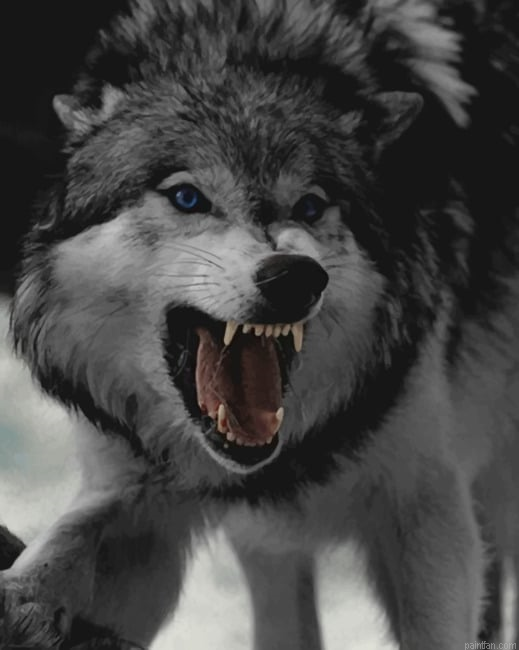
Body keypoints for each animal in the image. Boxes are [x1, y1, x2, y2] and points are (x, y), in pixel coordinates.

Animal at [2, 0, 519, 648]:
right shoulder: (138, 494)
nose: (296, 276)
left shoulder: (425, 505)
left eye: (311, 206)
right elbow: (68, 538)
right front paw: (20, 596)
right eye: (188, 198)